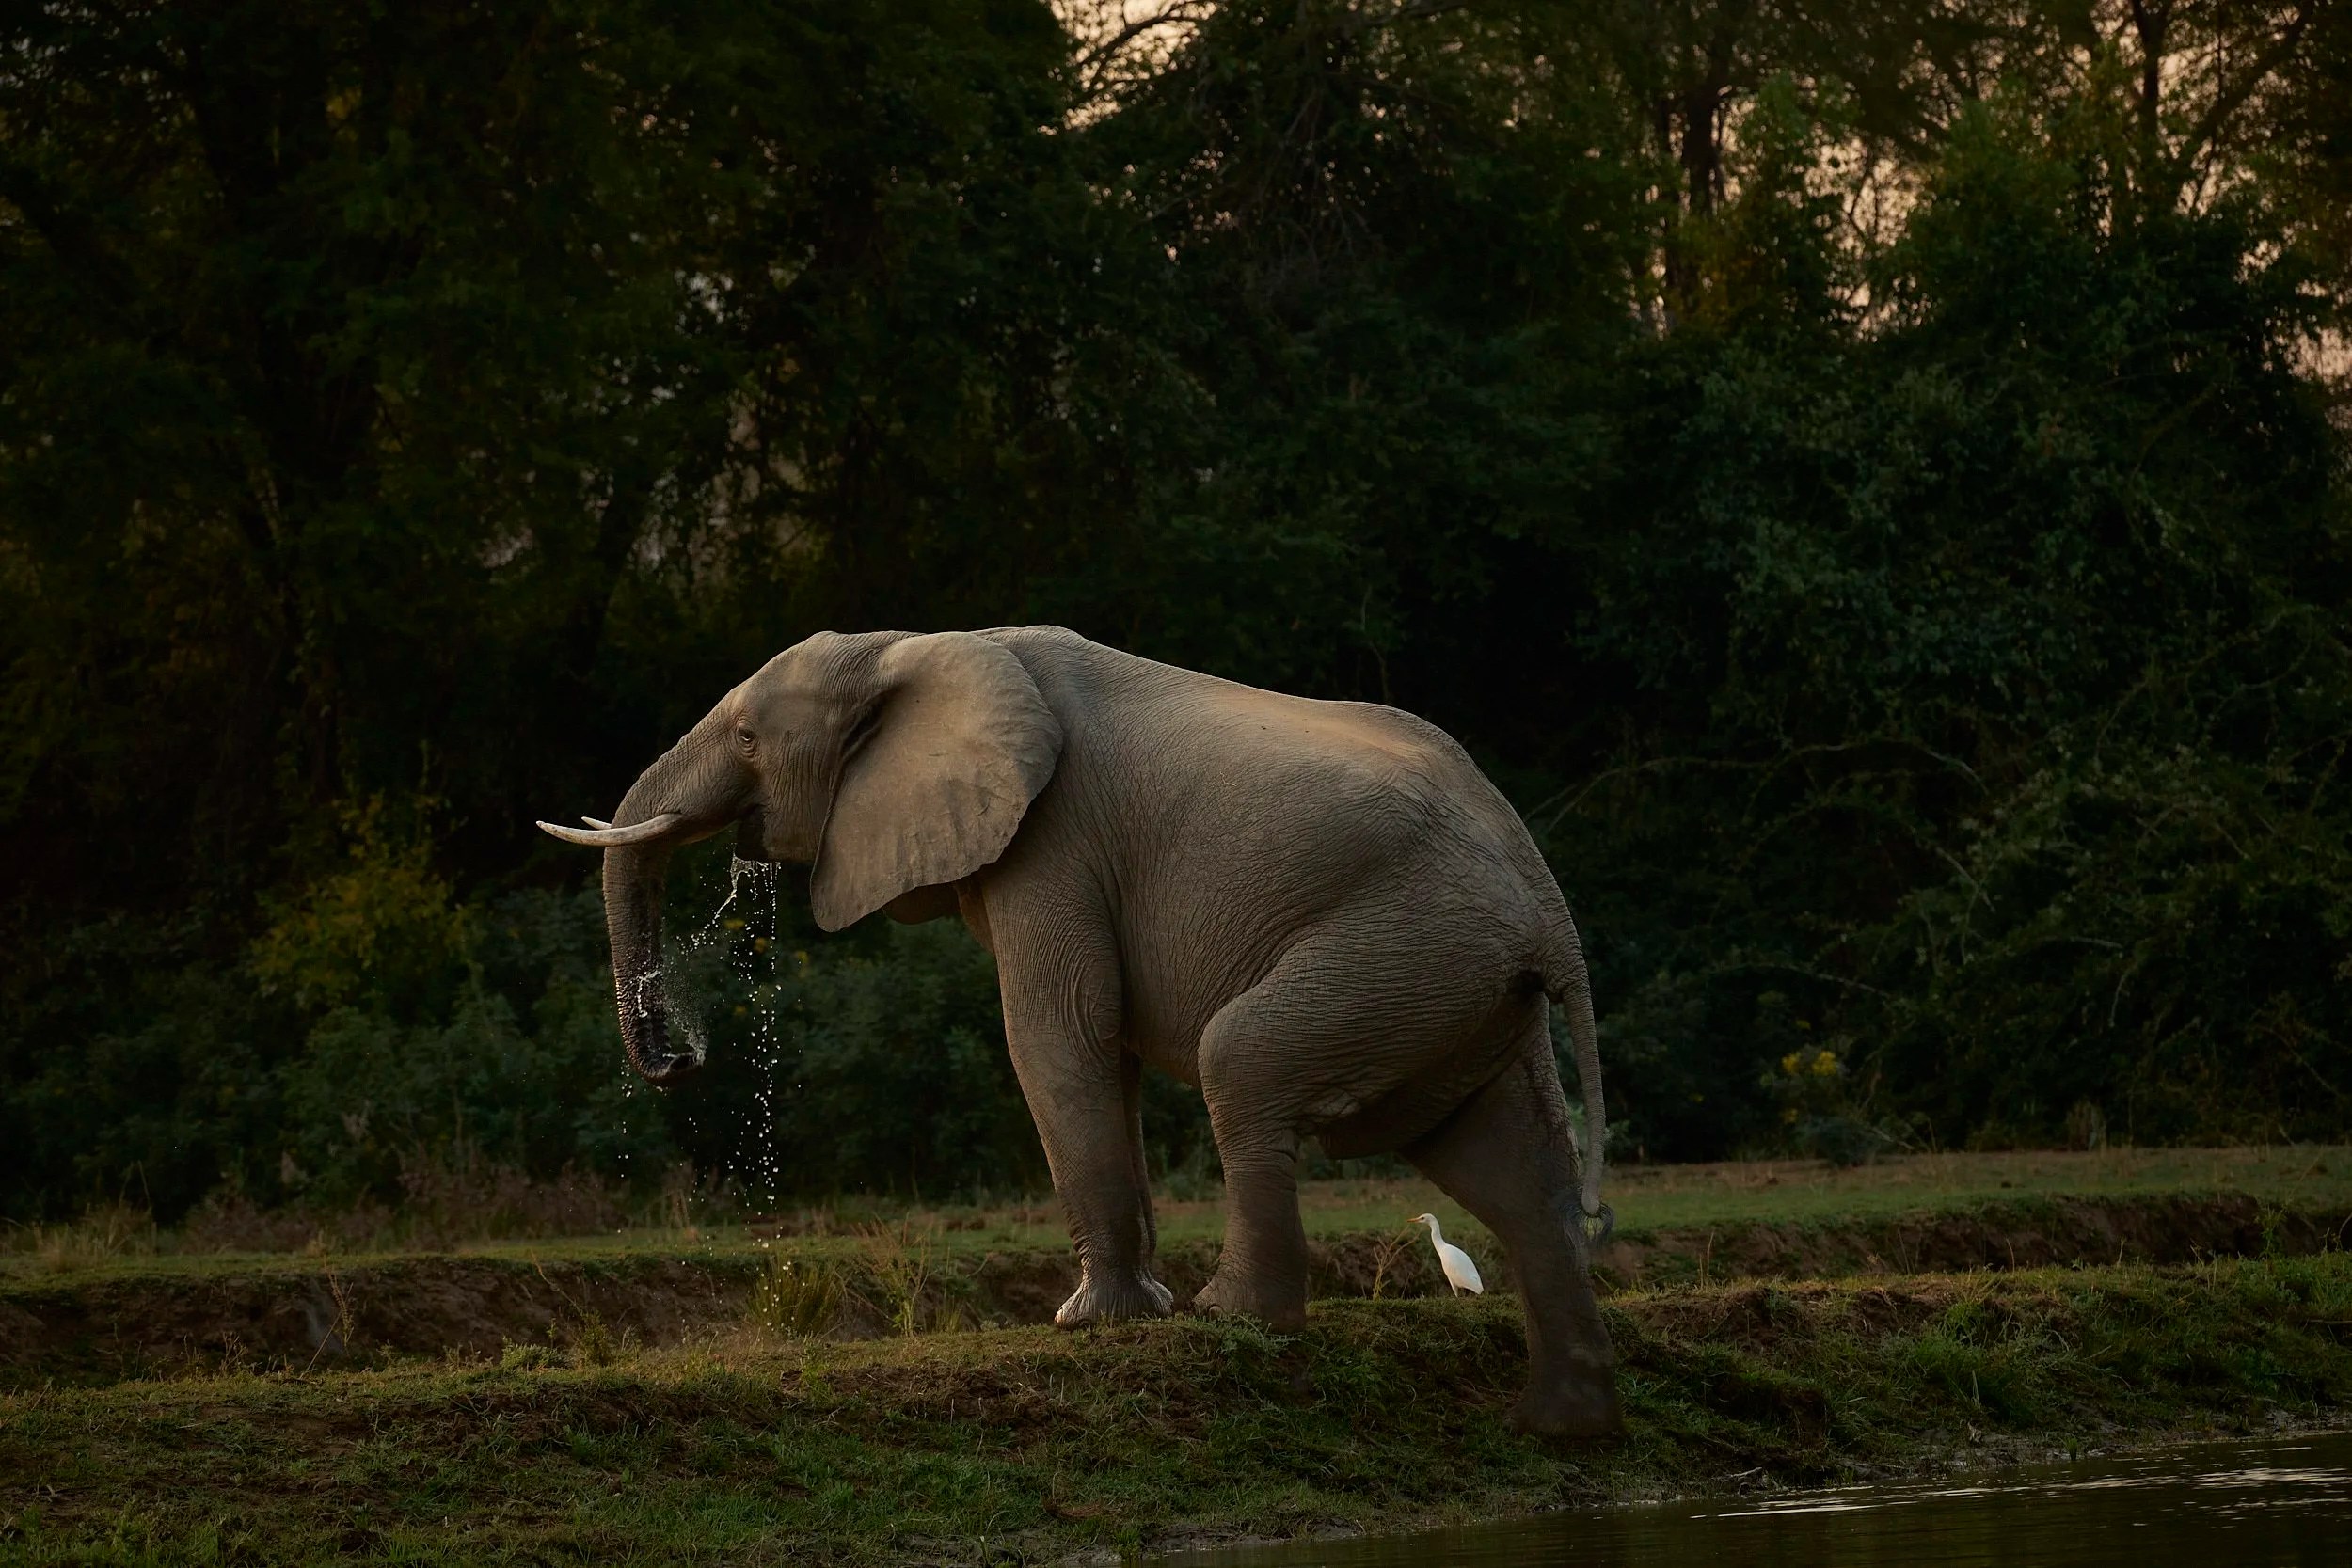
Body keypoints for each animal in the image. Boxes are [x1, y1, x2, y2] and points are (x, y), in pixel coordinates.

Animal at [539, 626, 1621, 1437]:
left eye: (749, 736)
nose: (679, 1057)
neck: (916, 647)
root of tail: (1551, 910)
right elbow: (1102, 1049)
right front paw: (1127, 1313)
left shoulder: (1051, 837)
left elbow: (1058, 1033)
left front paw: (1089, 1323)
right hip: (1461, 987)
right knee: (1510, 1169)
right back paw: (1560, 1428)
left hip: (1402, 949)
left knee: (1244, 1065)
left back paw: (1232, 1317)